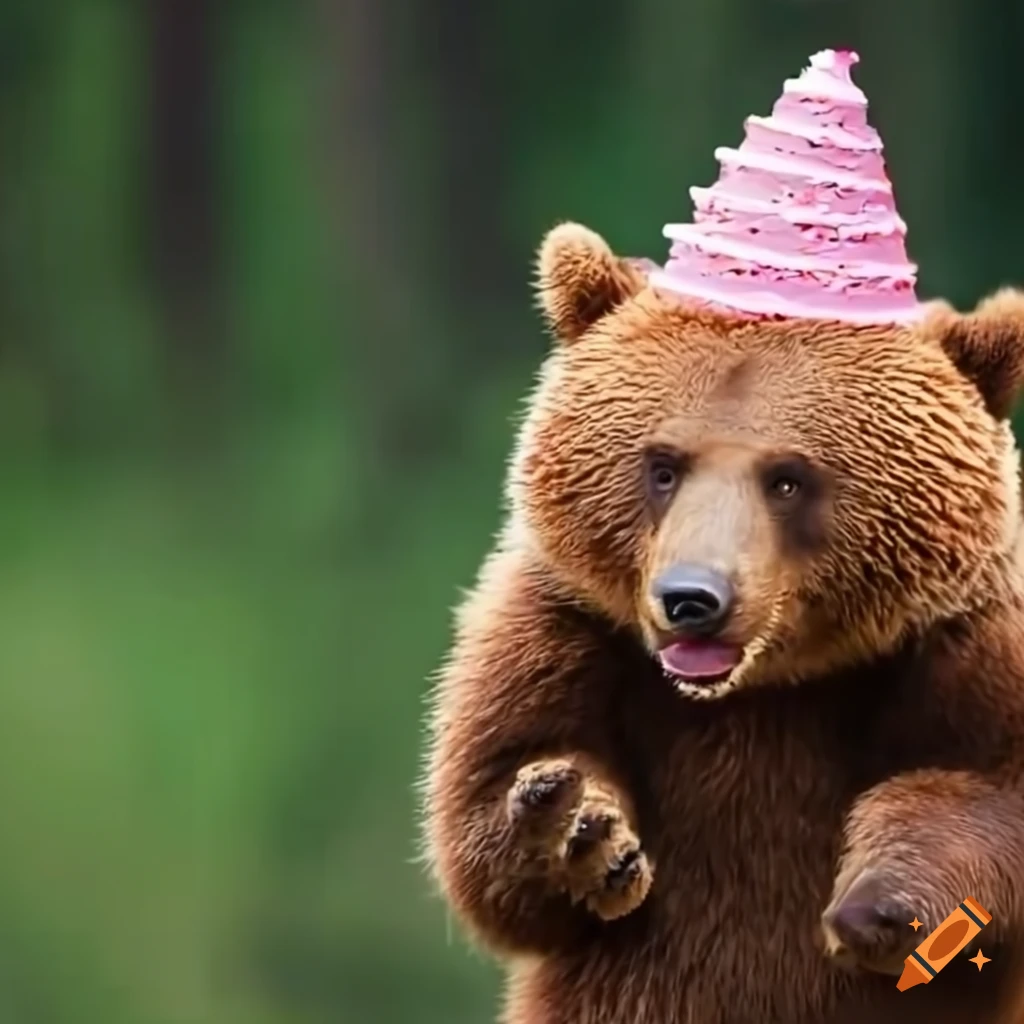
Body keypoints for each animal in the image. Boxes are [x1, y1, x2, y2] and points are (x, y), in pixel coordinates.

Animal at [419, 222, 1024, 1024]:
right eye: (663, 465)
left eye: (788, 478)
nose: (691, 598)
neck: (766, 688)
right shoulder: (564, 626)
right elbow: (489, 805)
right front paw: (574, 826)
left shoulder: (969, 641)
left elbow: (990, 784)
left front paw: (880, 901)